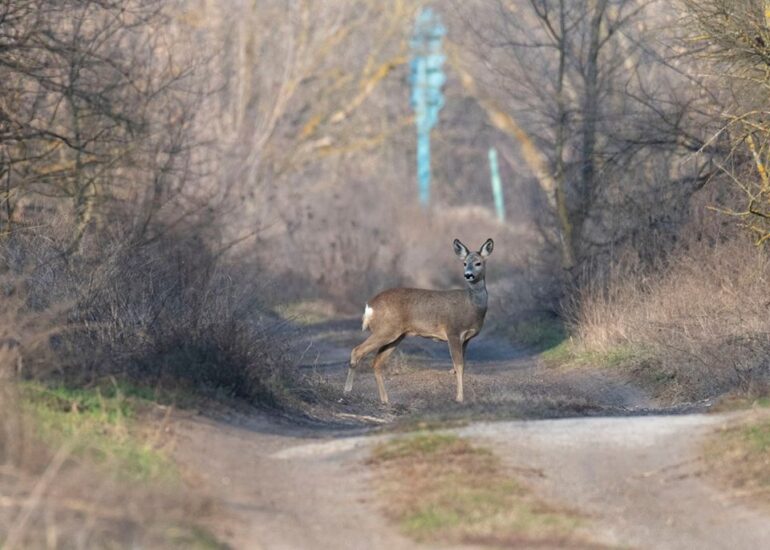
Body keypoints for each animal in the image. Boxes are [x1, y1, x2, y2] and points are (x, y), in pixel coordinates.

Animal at [342, 238, 492, 406]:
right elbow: (458, 366)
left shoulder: (465, 339)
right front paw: (459, 398)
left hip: (396, 336)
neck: (471, 305)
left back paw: (385, 400)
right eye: (465, 263)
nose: (468, 275)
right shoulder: (452, 331)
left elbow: (459, 366)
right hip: (385, 330)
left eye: (478, 263)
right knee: (357, 350)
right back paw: (347, 392)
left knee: (377, 363)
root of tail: (369, 306)